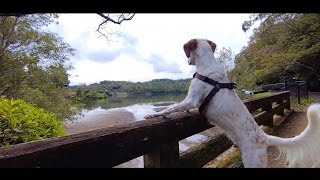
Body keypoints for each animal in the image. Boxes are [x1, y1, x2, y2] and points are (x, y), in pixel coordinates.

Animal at [144, 38, 320, 168]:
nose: (187, 61)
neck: (207, 67)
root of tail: (264, 137)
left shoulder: (191, 100)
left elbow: (171, 108)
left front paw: (154, 115)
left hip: (252, 162)